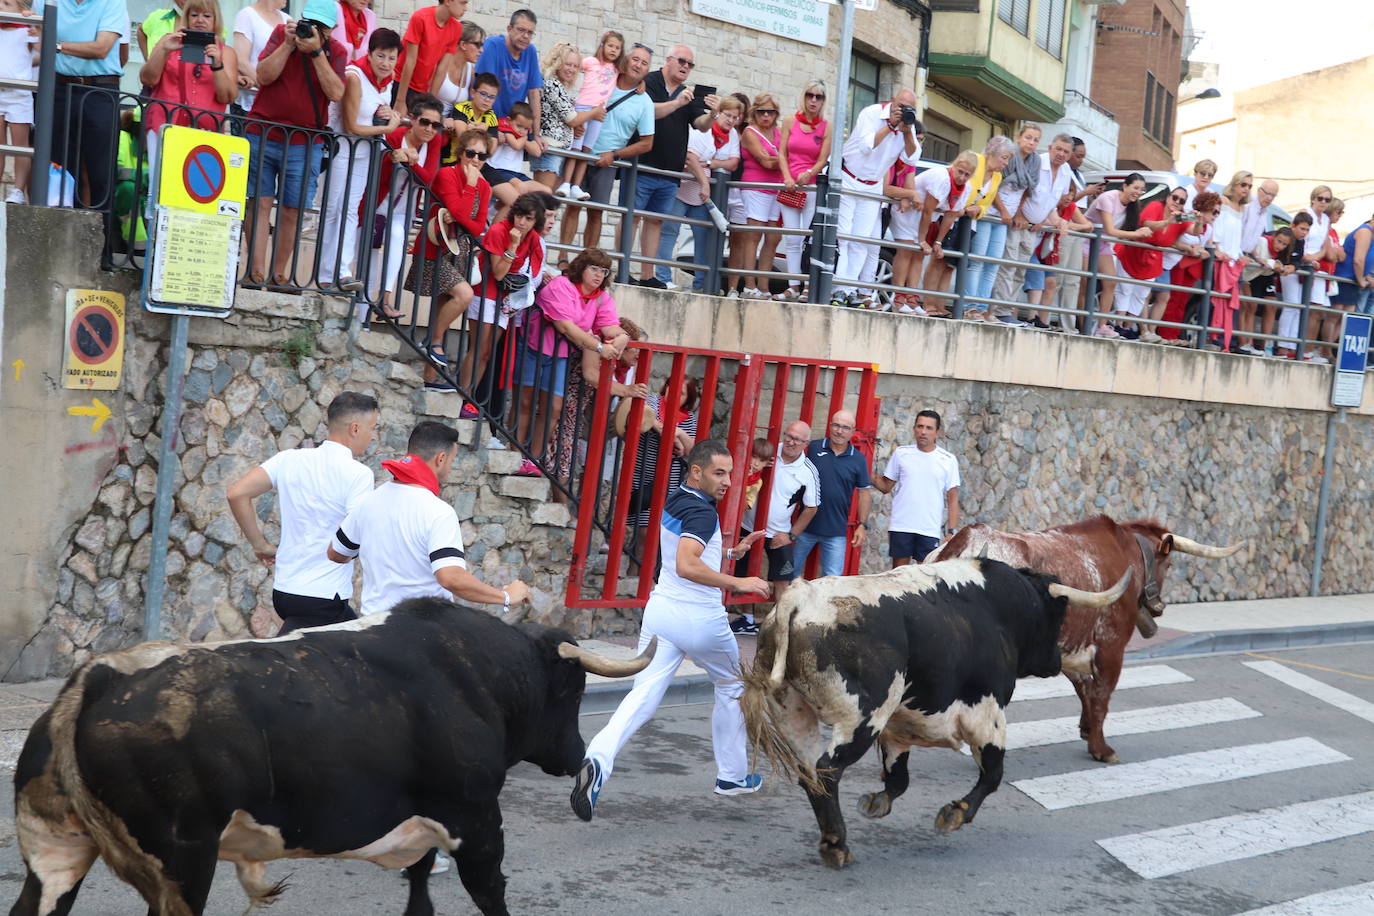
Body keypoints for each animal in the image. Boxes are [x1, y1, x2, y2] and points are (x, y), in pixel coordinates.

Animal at [8, 598, 654, 916]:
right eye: (571, 691)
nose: (575, 755)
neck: (473, 673)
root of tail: (97, 678)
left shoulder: (420, 822)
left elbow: (419, 894)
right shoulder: (474, 819)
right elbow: (490, 892)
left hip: (56, 853)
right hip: (182, 864)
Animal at [741, 554, 1126, 873]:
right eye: (1058, 615)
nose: (1055, 661)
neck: (999, 607)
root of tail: (800, 597)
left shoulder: (899, 726)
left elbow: (899, 779)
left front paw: (876, 802)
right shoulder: (986, 714)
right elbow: (993, 774)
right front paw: (954, 813)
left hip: (794, 714)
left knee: (811, 774)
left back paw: (832, 840)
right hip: (861, 720)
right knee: (828, 771)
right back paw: (836, 845)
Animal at [928, 516, 1242, 769]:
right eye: (1170, 563)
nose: (1159, 607)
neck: (1125, 550)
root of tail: (966, 539)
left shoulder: (1068, 647)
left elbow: (1084, 689)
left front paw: (1087, 730)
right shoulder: (1111, 647)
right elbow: (1101, 696)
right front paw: (1101, 749)